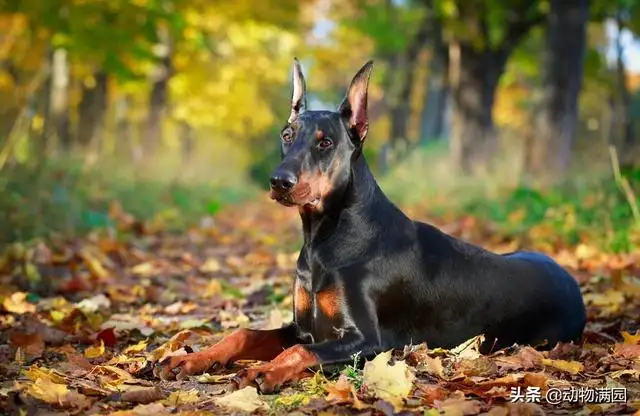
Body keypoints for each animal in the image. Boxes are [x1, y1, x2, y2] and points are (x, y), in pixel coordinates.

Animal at [155, 59, 584, 394]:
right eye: (287, 135)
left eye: (325, 143)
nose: (279, 181)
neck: (325, 239)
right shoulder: (303, 325)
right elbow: (244, 333)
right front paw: (189, 359)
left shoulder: (369, 341)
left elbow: (299, 351)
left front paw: (265, 371)